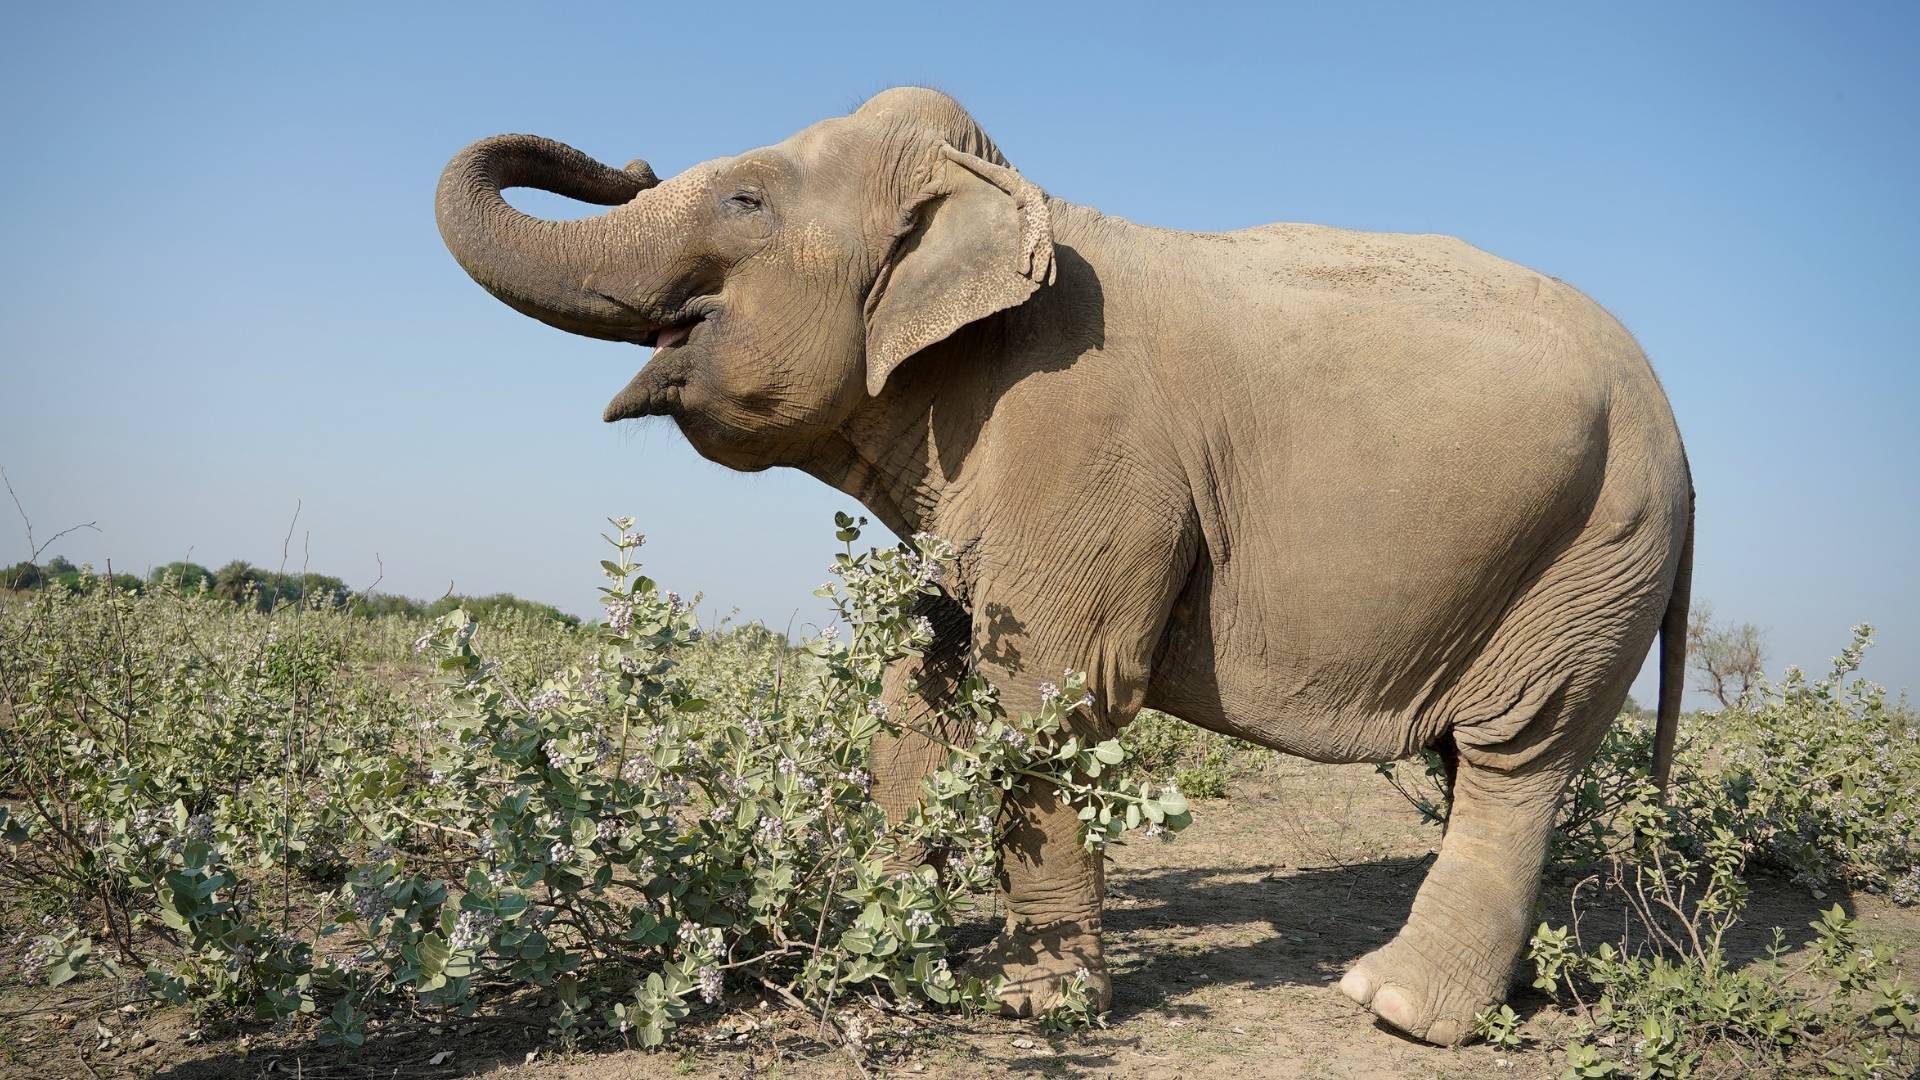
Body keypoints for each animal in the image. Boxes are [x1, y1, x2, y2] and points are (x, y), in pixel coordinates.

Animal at [436, 87, 1692, 1046]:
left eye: (746, 200)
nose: (628, 156)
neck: (1006, 200)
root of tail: (1680, 436)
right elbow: (922, 685)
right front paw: (875, 953)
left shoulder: (1077, 440)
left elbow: (1046, 695)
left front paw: (1035, 1009)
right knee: (1479, 765)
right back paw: (1504, 993)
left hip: (1599, 553)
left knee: (1516, 756)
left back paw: (1398, 1010)